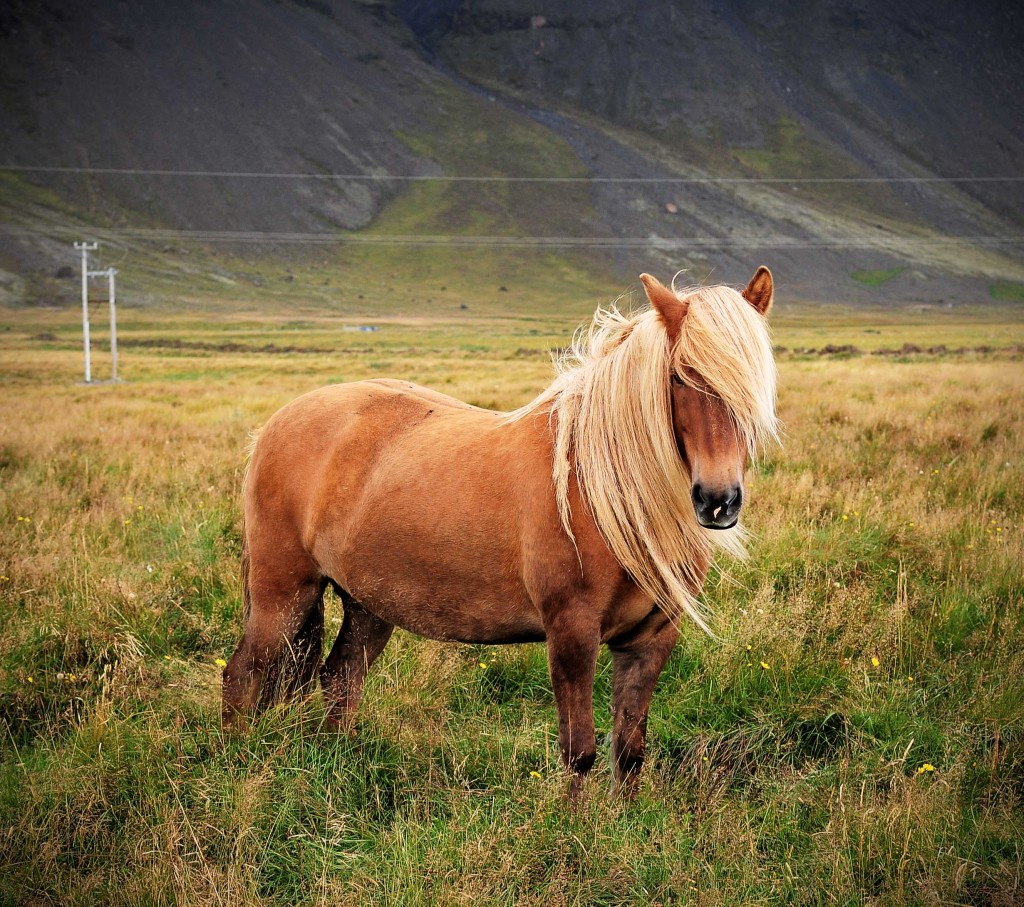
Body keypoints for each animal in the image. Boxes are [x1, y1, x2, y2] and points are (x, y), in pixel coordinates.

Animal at [222, 267, 779, 791]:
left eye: (757, 380)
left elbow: (629, 753)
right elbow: (580, 753)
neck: (610, 492)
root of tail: (277, 423)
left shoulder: (651, 640)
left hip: (368, 604)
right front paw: (574, 831)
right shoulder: (571, 633)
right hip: (283, 594)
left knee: (341, 678)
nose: (717, 500)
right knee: (243, 675)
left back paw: (341, 767)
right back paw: (237, 765)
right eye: (681, 377)